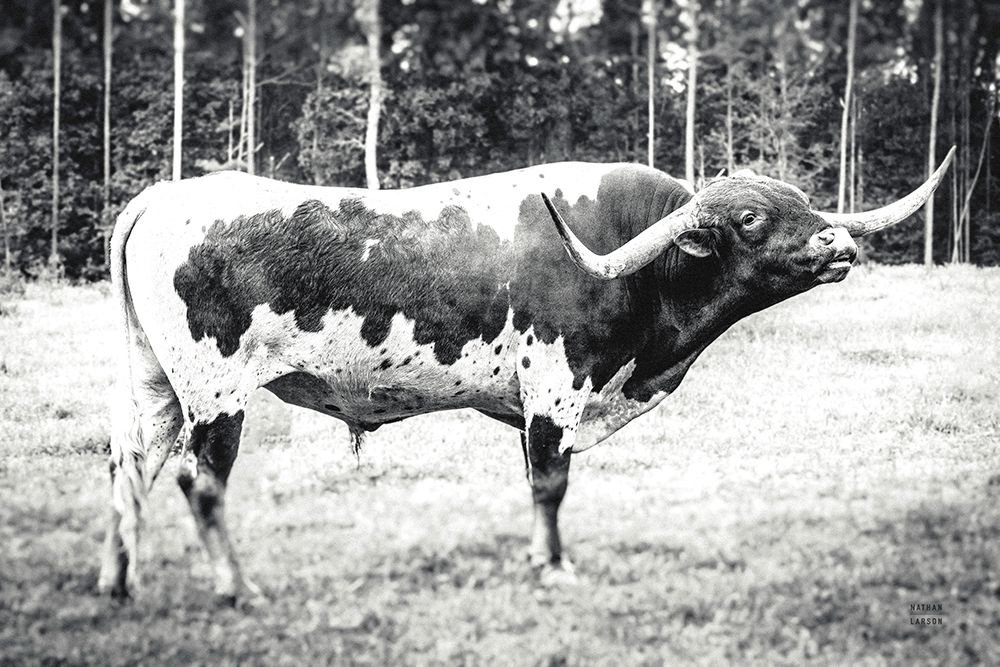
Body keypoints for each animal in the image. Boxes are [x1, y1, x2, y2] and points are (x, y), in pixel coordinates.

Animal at [98, 148, 955, 602]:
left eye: (800, 200)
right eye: (750, 218)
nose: (840, 243)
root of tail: (161, 197)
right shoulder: (555, 391)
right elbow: (550, 483)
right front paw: (554, 564)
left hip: (156, 387)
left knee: (130, 468)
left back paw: (119, 580)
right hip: (216, 393)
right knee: (200, 483)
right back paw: (236, 586)